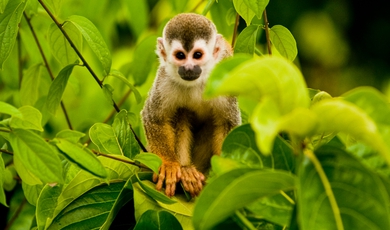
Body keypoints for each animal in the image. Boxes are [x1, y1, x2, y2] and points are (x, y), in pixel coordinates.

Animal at [142, 12, 241, 197]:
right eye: (180, 56)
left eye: (197, 55)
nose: (189, 68)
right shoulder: (164, 80)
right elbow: (154, 118)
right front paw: (169, 164)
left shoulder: (223, 77)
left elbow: (227, 123)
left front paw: (223, 175)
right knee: (181, 112)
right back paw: (186, 169)